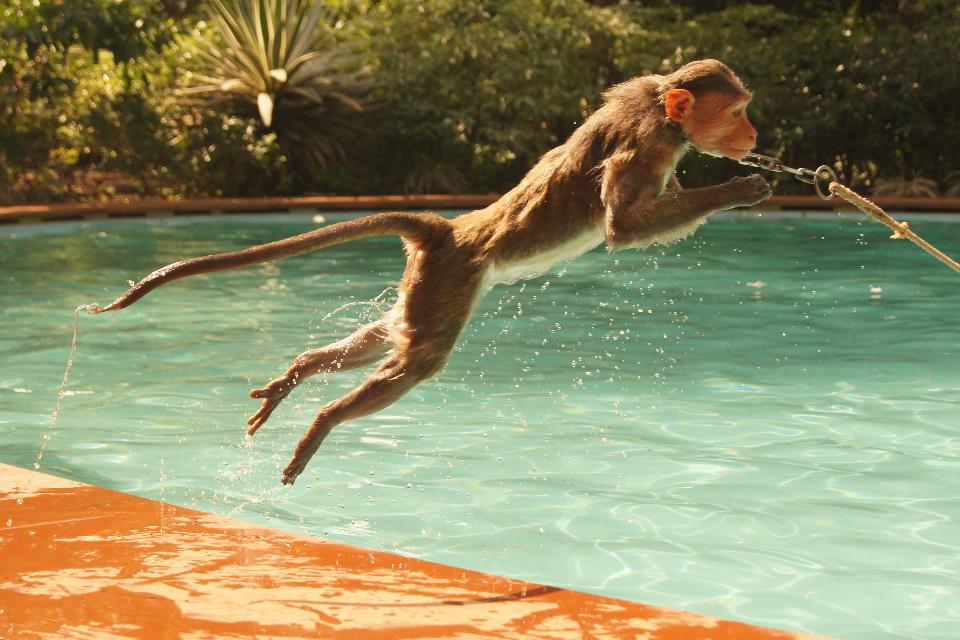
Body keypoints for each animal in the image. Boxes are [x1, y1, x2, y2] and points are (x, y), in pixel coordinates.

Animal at [94, 59, 771, 485]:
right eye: (738, 111)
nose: (755, 132)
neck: (664, 116)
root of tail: (454, 231)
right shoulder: (645, 146)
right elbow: (622, 230)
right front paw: (738, 190)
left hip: (427, 281)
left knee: (386, 339)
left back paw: (301, 373)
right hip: (453, 276)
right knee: (419, 358)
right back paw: (324, 419)